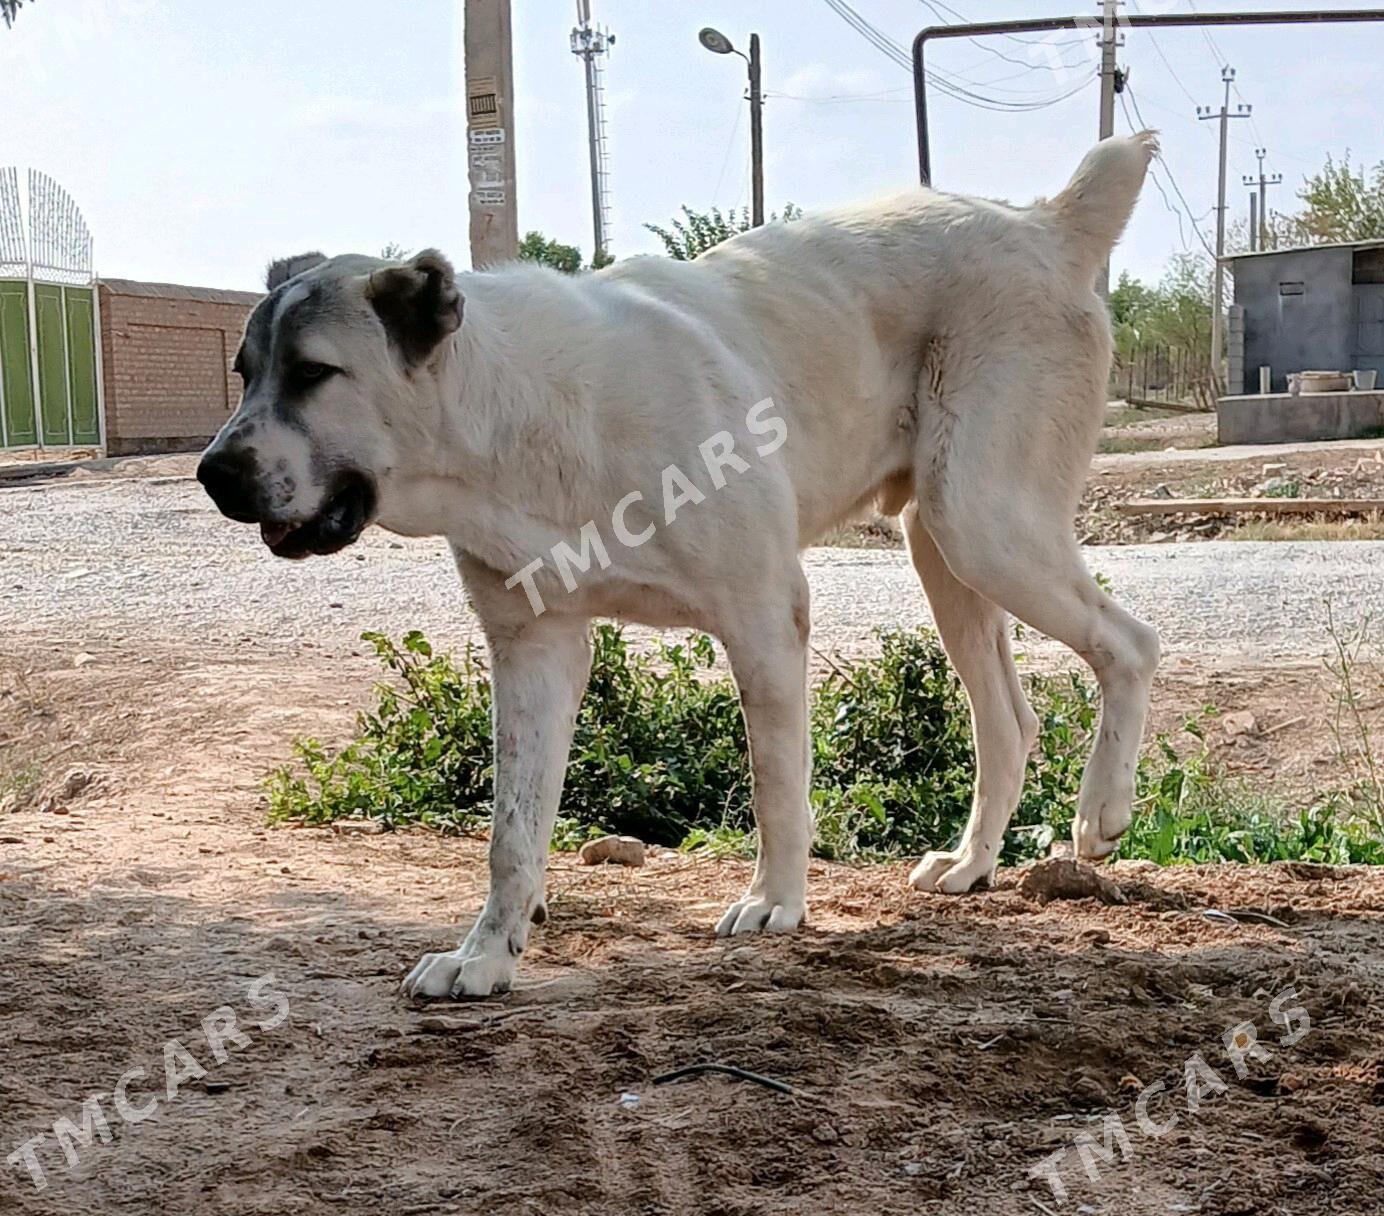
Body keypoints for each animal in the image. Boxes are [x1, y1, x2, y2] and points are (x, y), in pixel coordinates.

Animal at [197, 130, 1157, 996]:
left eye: (314, 373)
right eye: (243, 372)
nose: (212, 473)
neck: (514, 422)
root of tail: (1045, 224)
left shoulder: (766, 613)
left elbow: (776, 785)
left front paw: (776, 903)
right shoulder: (535, 649)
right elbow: (510, 835)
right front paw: (487, 956)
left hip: (983, 522)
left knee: (1130, 644)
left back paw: (1101, 811)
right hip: (944, 548)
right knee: (1008, 721)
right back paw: (971, 863)